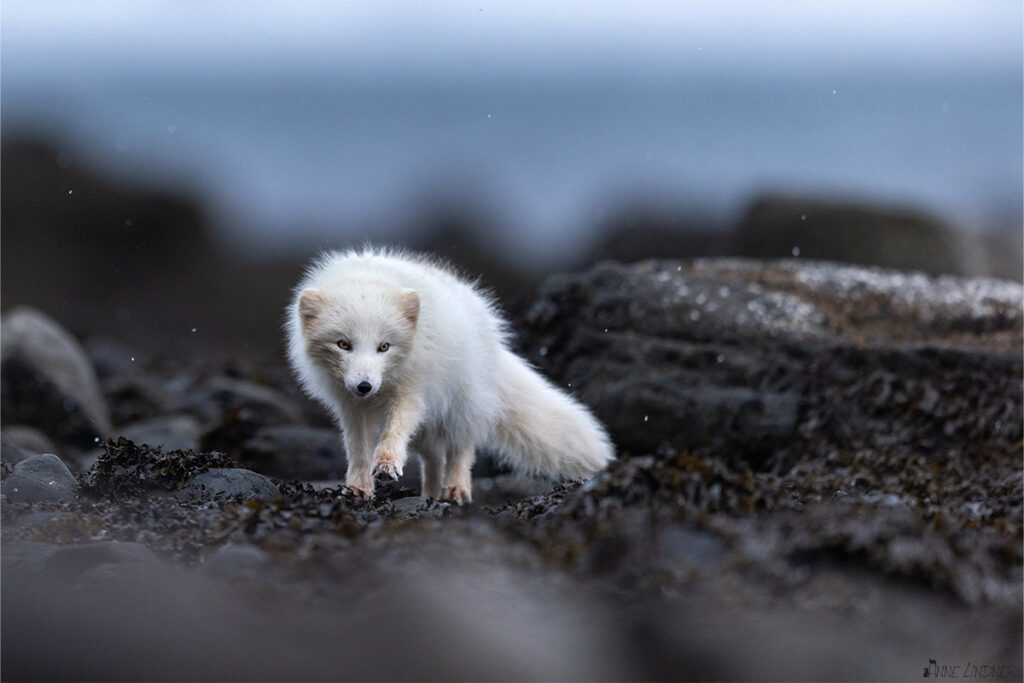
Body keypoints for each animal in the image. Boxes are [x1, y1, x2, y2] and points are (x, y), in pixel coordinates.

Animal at [284, 248, 610, 505]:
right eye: (343, 344)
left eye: (384, 347)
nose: (365, 386)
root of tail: (493, 339)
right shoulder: (349, 405)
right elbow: (358, 450)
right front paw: (358, 489)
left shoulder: (412, 392)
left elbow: (395, 431)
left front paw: (387, 463)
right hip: (427, 429)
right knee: (434, 458)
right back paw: (429, 495)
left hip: (462, 406)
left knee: (462, 449)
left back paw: (455, 490)